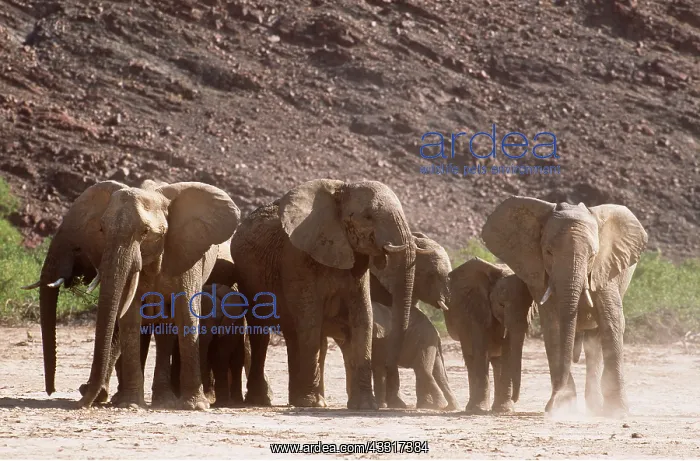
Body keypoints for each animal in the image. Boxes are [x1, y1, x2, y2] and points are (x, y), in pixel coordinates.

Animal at [28, 179, 240, 410]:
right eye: (102, 229)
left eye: (146, 232)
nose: (81, 403)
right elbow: (129, 318)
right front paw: (129, 404)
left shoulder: (186, 254)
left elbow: (186, 312)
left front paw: (195, 406)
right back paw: (159, 399)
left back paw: (166, 400)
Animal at [229, 179, 419, 409]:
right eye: (368, 217)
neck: (340, 190)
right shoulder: (298, 258)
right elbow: (310, 320)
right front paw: (312, 403)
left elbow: (363, 318)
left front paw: (365, 405)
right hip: (248, 278)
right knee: (262, 332)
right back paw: (265, 400)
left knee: (295, 335)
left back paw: (300, 399)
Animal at [444, 257, 535, 414]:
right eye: (501, 305)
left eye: (529, 306)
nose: (515, 399)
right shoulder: (477, 308)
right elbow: (481, 350)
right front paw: (479, 409)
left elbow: (508, 352)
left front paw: (505, 410)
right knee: (471, 358)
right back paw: (471, 407)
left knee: (497, 361)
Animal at [481, 196, 648, 417]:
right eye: (548, 252)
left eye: (593, 255)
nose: (556, 398)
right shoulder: (541, 274)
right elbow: (554, 327)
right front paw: (560, 406)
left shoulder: (605, 268)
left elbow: (611, 321)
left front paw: (617, 412)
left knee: (595, 341)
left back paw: (596, 408)